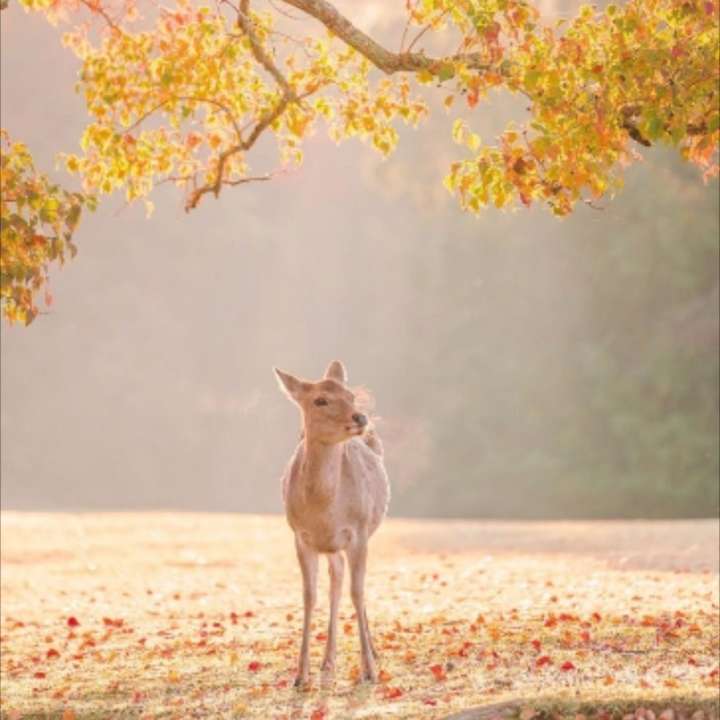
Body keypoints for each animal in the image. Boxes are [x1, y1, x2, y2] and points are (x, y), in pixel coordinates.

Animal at [274, 360, 388, 688]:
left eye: (350, 395)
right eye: (320, 400)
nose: (360, 416)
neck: (324, 509)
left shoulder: (359, 532)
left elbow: (357, 592)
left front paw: (369, 671)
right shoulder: (300, 536)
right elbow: (309, 596)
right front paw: (300, 675)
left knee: (350, 584)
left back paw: (370, 653)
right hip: (331, 546)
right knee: (336, 579)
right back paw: (327, 661)